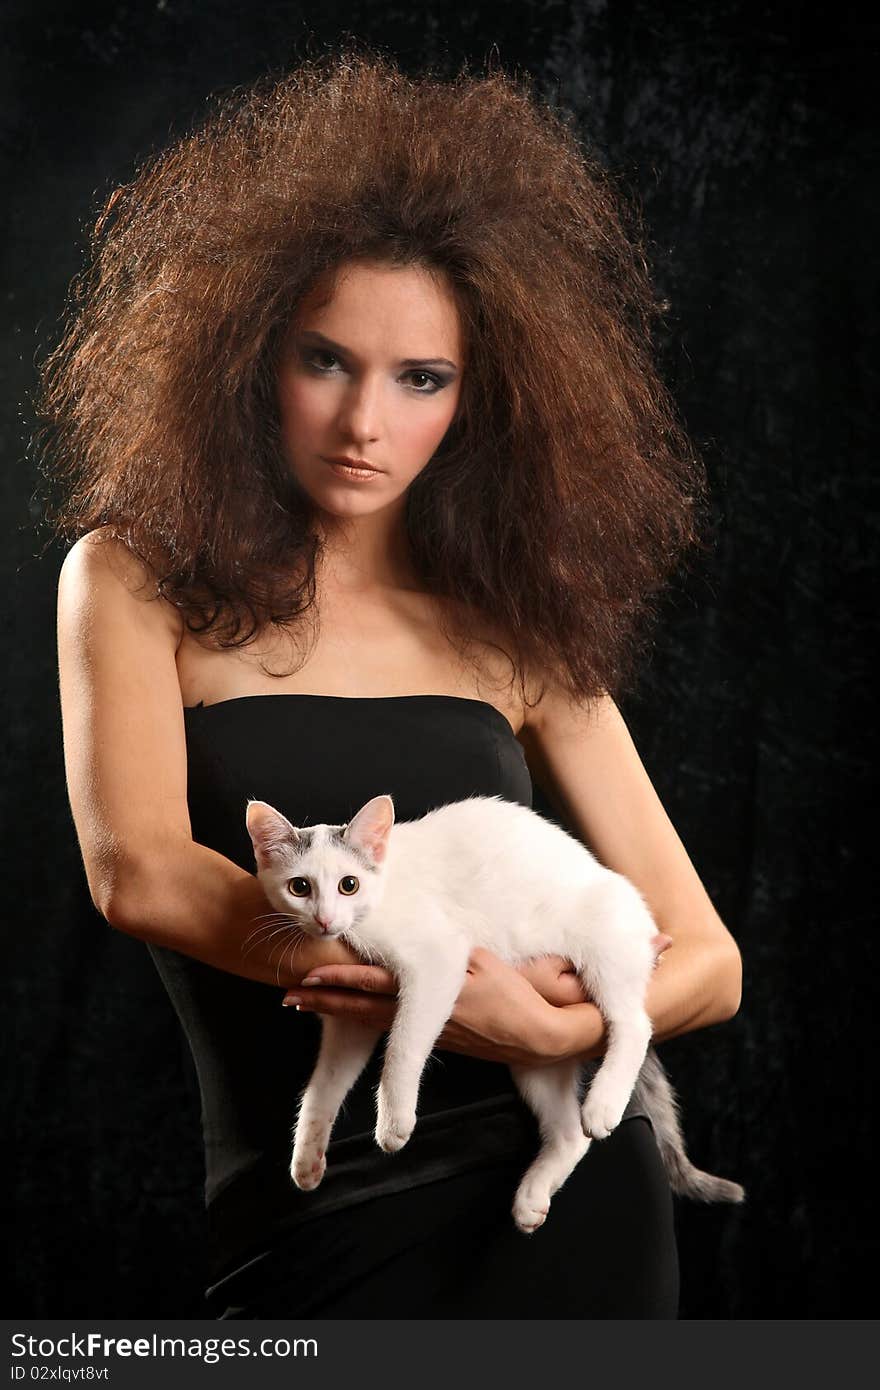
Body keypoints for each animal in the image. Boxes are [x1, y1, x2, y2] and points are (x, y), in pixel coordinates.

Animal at [246, 789, 739, 1234]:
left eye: (349, 884)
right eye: (300, 887)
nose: (325, 921)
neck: (378, 897)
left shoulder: (437, 959)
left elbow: (404, 1045)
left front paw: (394, 1120)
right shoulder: (349, 1018)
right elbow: (325, 1084)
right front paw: (308, 1155)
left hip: (605, 949)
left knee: (634, 1023)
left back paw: (603, 1103)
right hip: (536, 1052)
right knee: (568, 1133)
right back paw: (533, 1196)